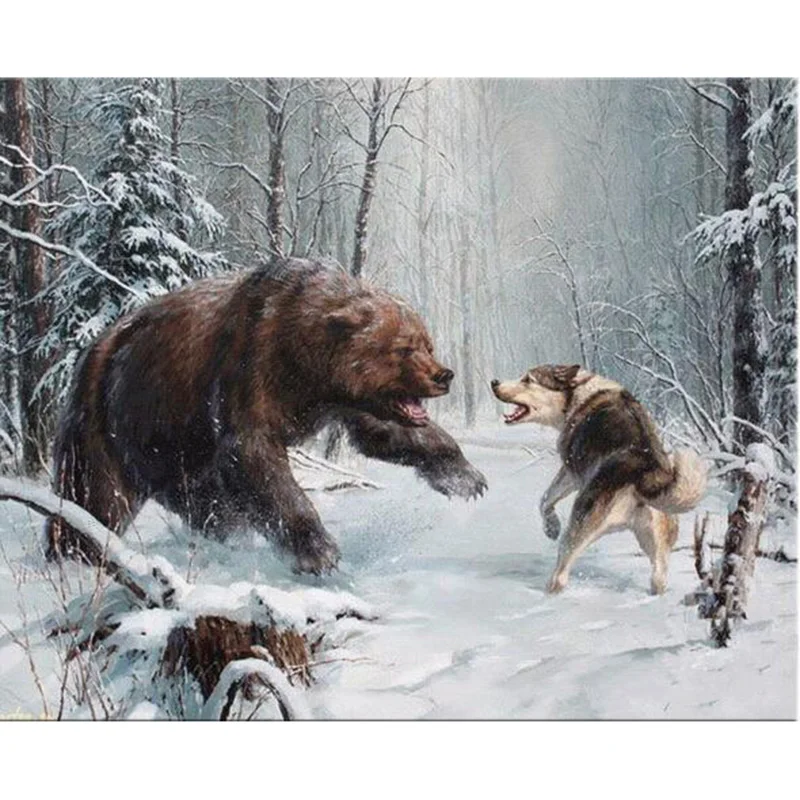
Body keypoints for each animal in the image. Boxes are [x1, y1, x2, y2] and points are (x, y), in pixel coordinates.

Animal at [46, 257, 487, 574]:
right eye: (403, 348)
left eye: (427, 344)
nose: (443, 375)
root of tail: (92, 352)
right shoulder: (249, 364)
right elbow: (252, 455)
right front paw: (319, 552)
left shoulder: (343, 399)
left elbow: (384, 432)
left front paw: (465, 477)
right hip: (108, 420)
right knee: (93, 498)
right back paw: (72, 556)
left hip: (175, 451)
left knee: (209, 507)